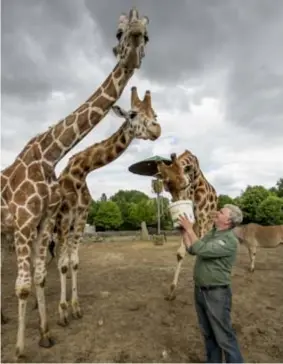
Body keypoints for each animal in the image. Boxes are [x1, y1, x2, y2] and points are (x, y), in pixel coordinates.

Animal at [47, 86, 161, 326]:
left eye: (154, 114)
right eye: (133, 114)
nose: (157, 129)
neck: (81, 172)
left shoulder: (80, 219)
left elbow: (73, 262)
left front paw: (76, 308)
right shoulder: (65, 219)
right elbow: (63, 264)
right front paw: (62, 313)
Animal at [156, 149, 219, 300]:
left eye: (184, 184)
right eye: (166, 188)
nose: (179, 202)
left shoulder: (202, 218)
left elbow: (201, 251)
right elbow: (180, 253)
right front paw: (171, 291)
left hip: (209, 221)